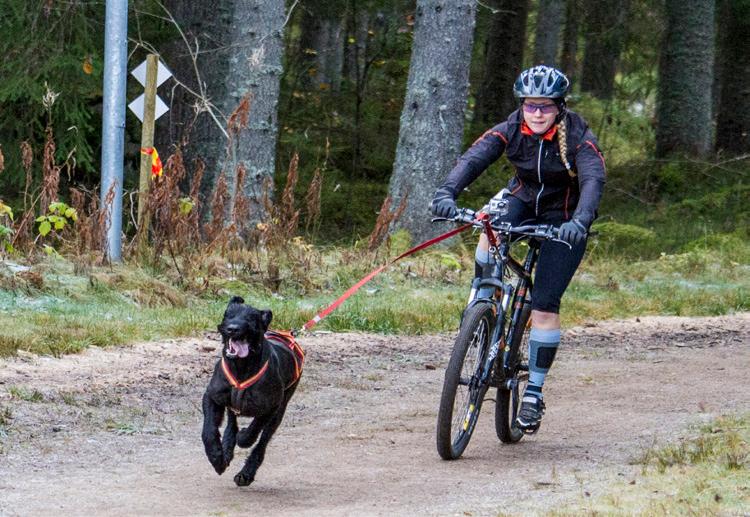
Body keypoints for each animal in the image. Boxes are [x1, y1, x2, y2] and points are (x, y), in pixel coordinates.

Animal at [203, 296, 306, 486]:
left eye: (251, 318)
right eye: (228, 314)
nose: (232, 328)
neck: (241, 367)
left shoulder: (272, 407)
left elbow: (254, 429)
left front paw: (243, 438)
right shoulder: (212, 397)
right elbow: (208, 431)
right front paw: (216, 456)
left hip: (280, 411)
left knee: (261, 443)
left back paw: (246, 473)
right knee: (231, 424)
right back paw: (226, 451)